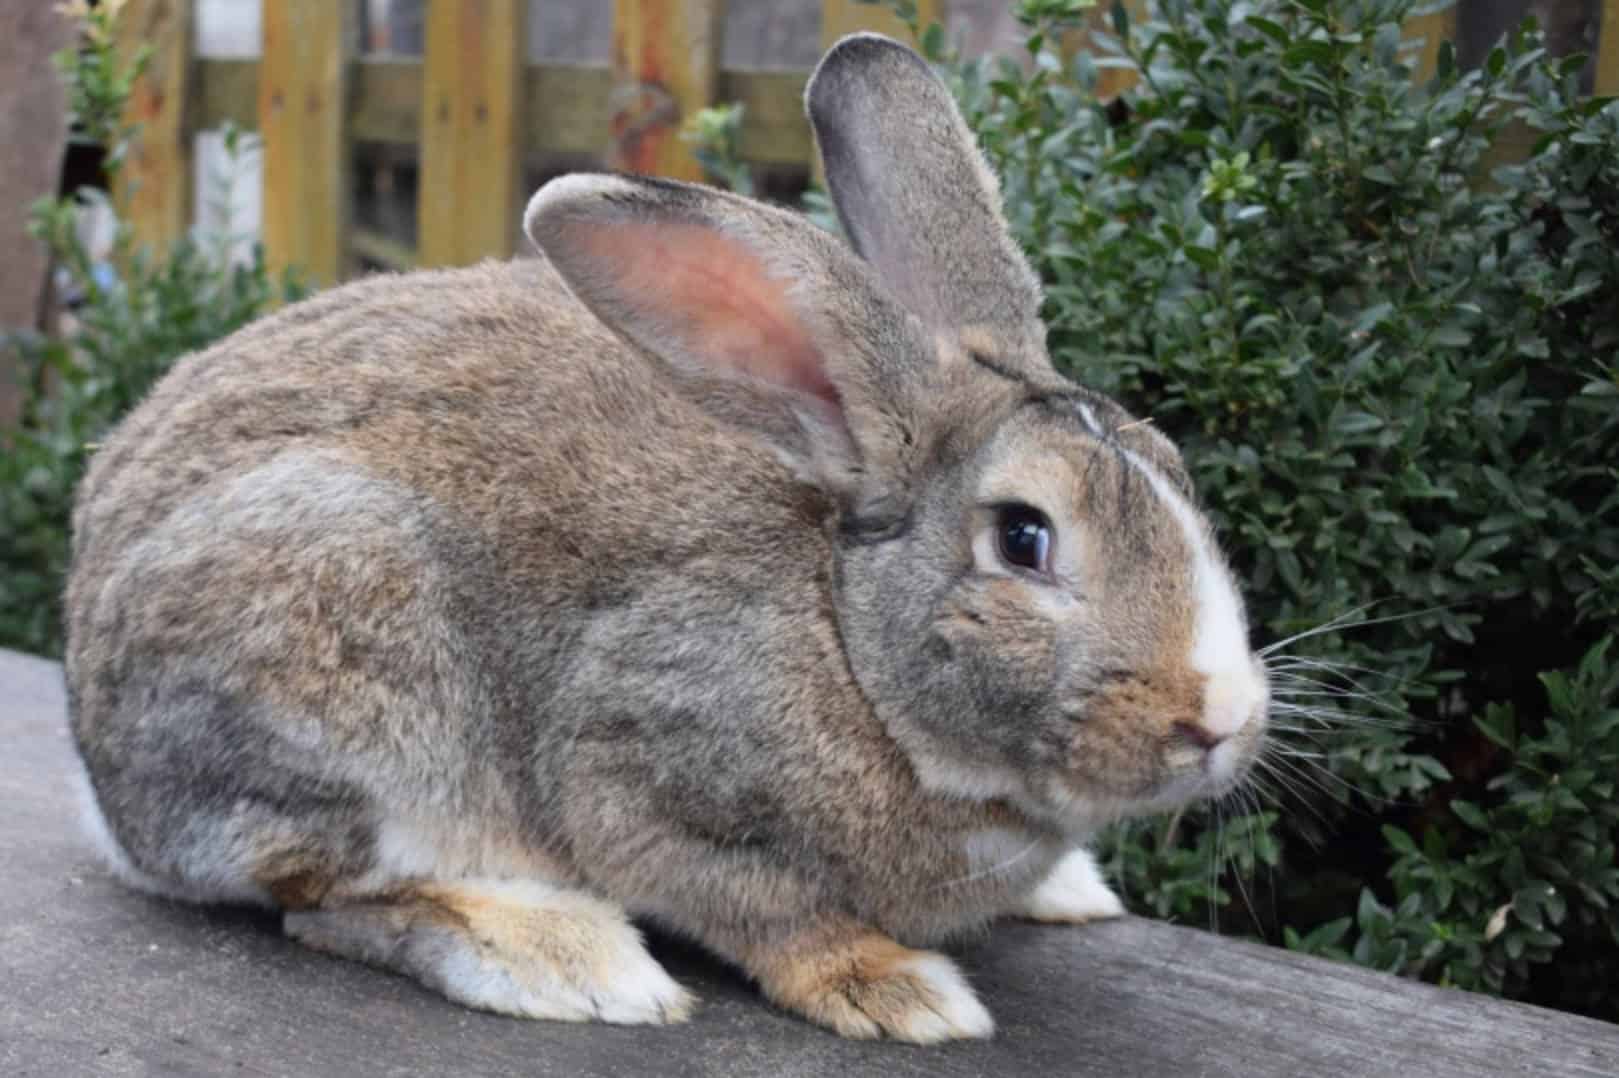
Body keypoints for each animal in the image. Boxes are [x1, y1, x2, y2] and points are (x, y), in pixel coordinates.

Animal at [63, 35, 1269, 1042]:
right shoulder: (638, 773)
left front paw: (1064, 891)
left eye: (1174, 470)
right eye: (1023, 538)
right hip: (351, 668)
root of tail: (107, 783)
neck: (845, 638)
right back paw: (566, 961)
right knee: (329, 898)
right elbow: (764, 909)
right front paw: (898, 989)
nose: (1220, 717)